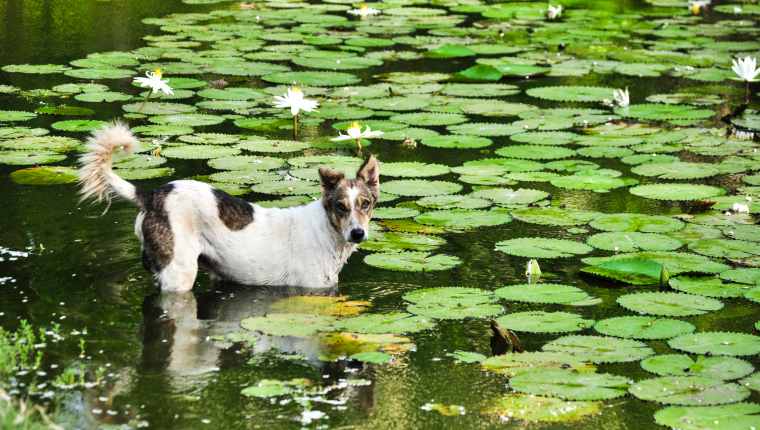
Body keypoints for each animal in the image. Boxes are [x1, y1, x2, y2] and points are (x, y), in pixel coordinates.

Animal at [77, 124, 380, 292]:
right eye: (340, 206)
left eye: (365, 204)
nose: (357, 233)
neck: (327, 233)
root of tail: (151, 195)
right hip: (179, 274)